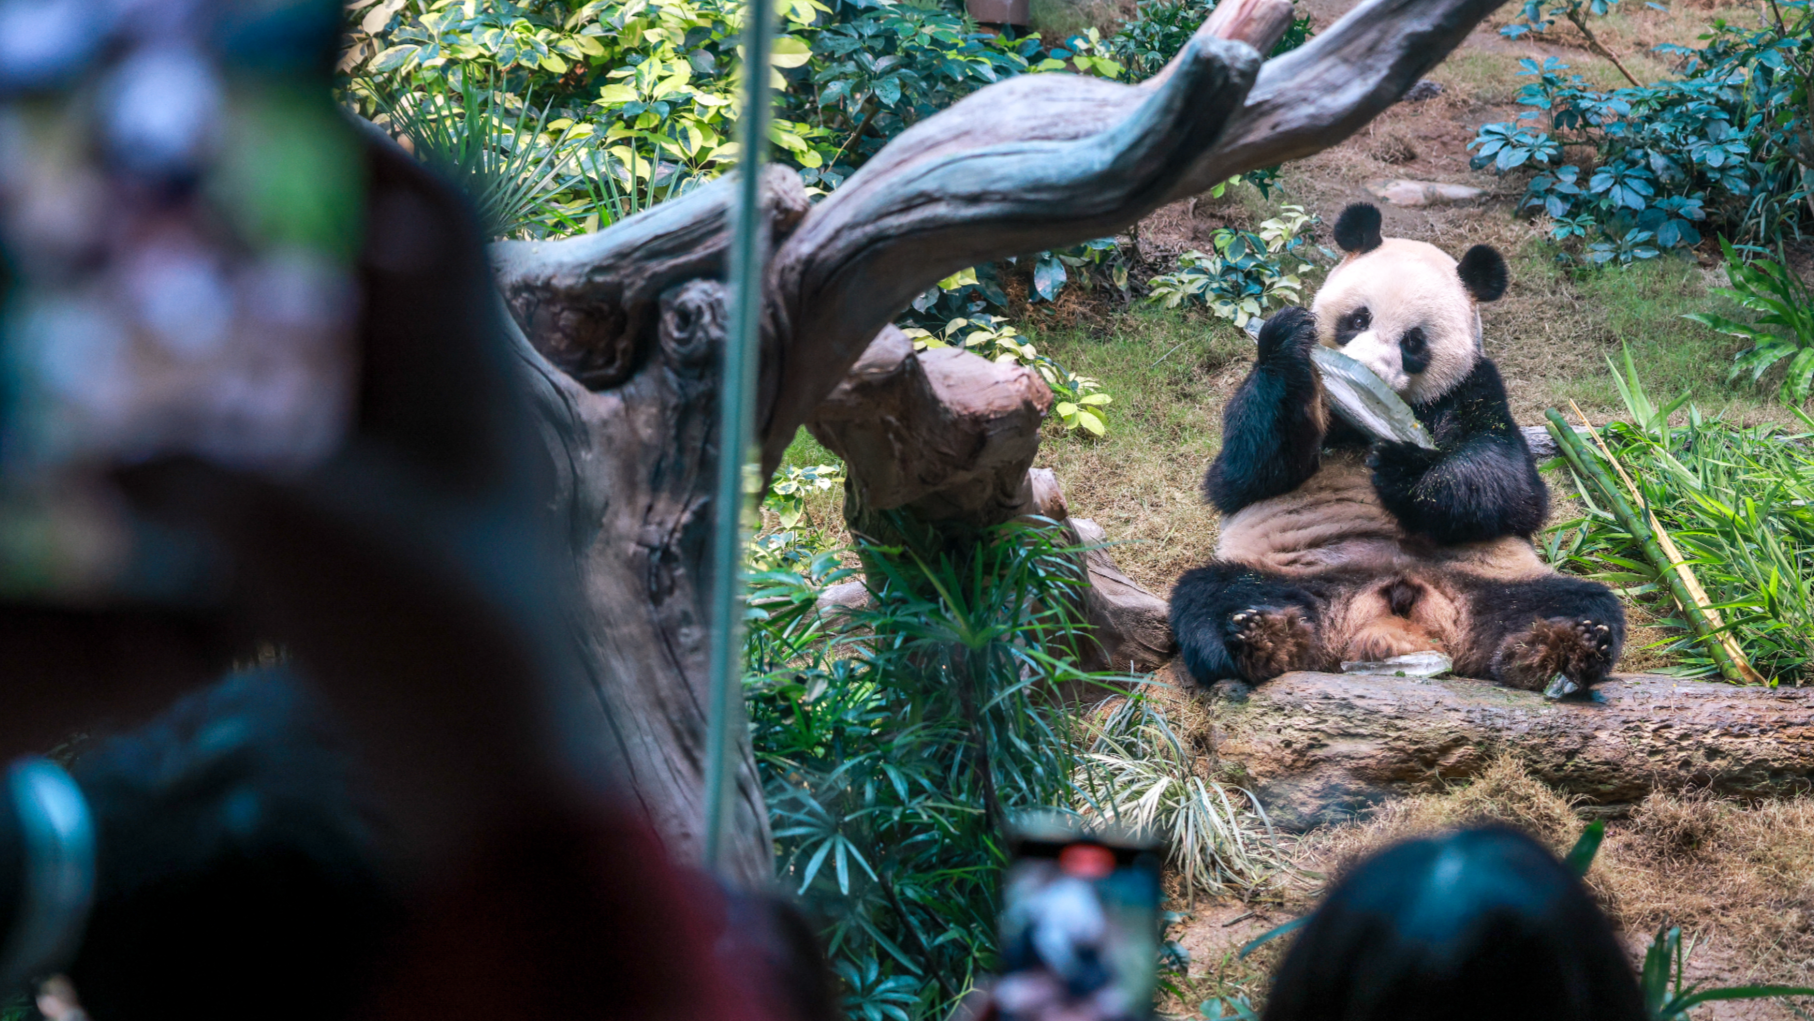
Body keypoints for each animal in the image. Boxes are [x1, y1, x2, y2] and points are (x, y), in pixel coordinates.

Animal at [1169, 203, 1624, 694]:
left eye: (1413, 341)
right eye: (1358, 318)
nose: (1364, 373)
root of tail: (1388, 618)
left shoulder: (1473, 388)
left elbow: (1512, 487)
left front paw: (1404, 470)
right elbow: (1243, 473)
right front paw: (1287, 340)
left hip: (1498, 576)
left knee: (1578, 601)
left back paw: (1562, 648)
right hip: (1288, 570)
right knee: (1212, 595)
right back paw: (1263, 637)